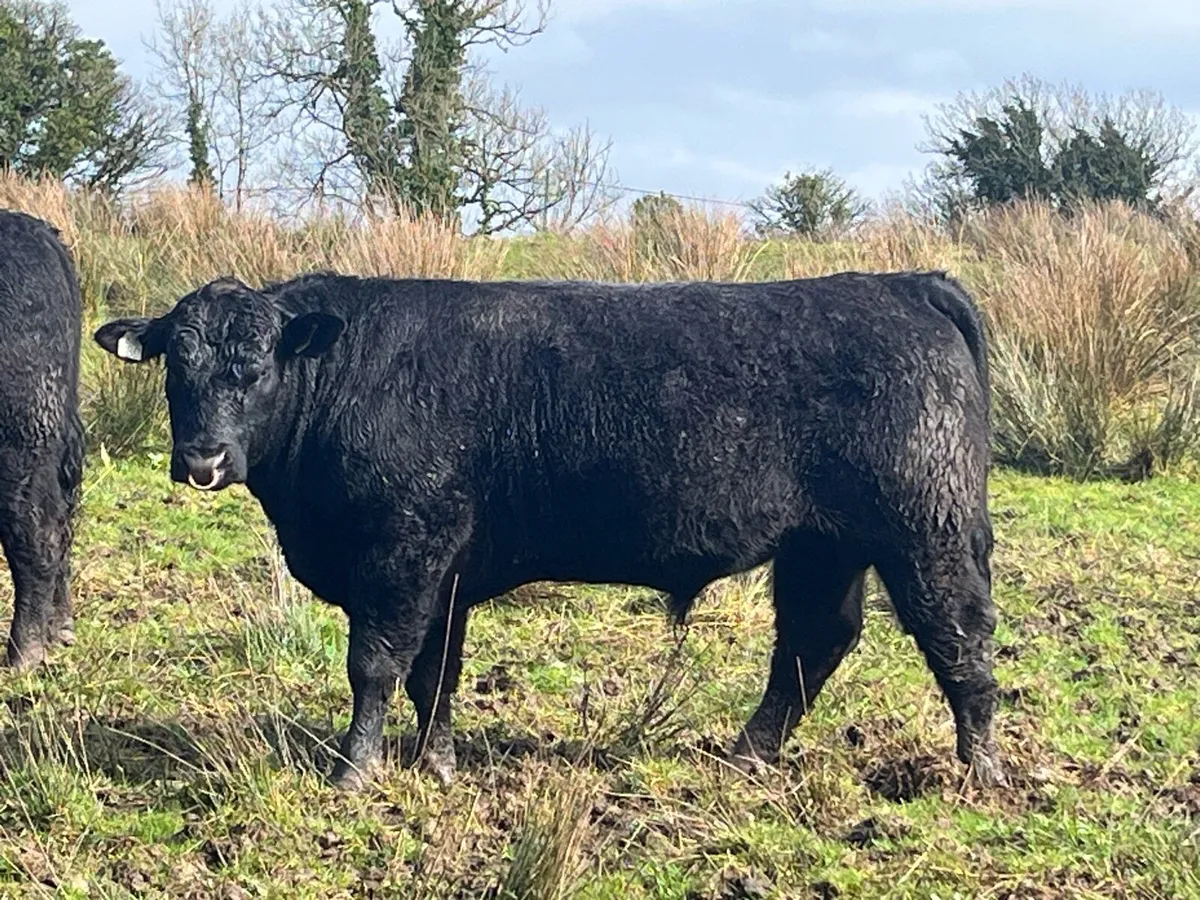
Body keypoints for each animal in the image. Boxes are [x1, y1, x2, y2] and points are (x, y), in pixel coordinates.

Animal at [94, 269, 1002, 790]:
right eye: (177, 364)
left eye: (257, 367)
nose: (203, 458)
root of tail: (902, 282)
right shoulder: (445, 570)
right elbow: (435, 674)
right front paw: (436, 764)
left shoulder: (402, 550)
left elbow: (376, 665)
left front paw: (354, 773)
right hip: (824, 544)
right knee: (816, 641)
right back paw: (747, 754)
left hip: (926, 528)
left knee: (958, 638)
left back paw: (981, 772)